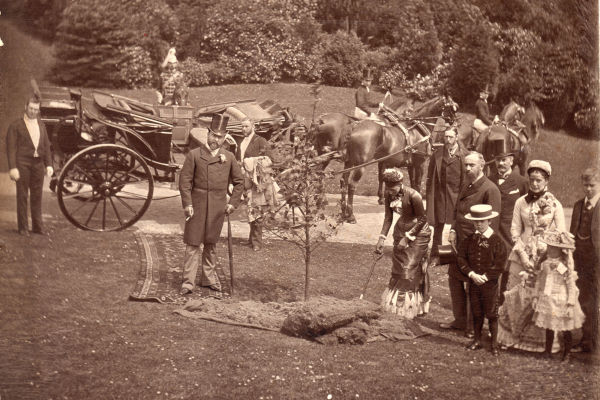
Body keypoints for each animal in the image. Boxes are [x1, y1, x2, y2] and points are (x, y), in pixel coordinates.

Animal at [336, 95, 458, 223]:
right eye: (452, 108)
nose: (455, 123)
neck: (417, 130)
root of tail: (355, 126)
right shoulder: (419, 164)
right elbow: (417, 185)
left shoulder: (409, 165)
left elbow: (412, 184)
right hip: (361, 165)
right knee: (351, 185)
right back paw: (350, 215)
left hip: (349, 162)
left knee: (343, 182)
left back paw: (343, 212)